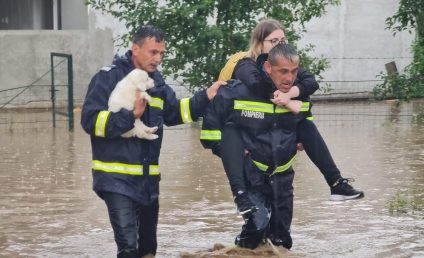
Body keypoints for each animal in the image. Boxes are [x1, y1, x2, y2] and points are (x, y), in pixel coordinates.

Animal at [200, 43, 310, 249]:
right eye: (284, 71)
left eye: (292, 70)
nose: (289, 81)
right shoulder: (229, 93)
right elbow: (212, 123)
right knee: (258, 225)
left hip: (283, 194)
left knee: (281, 229)